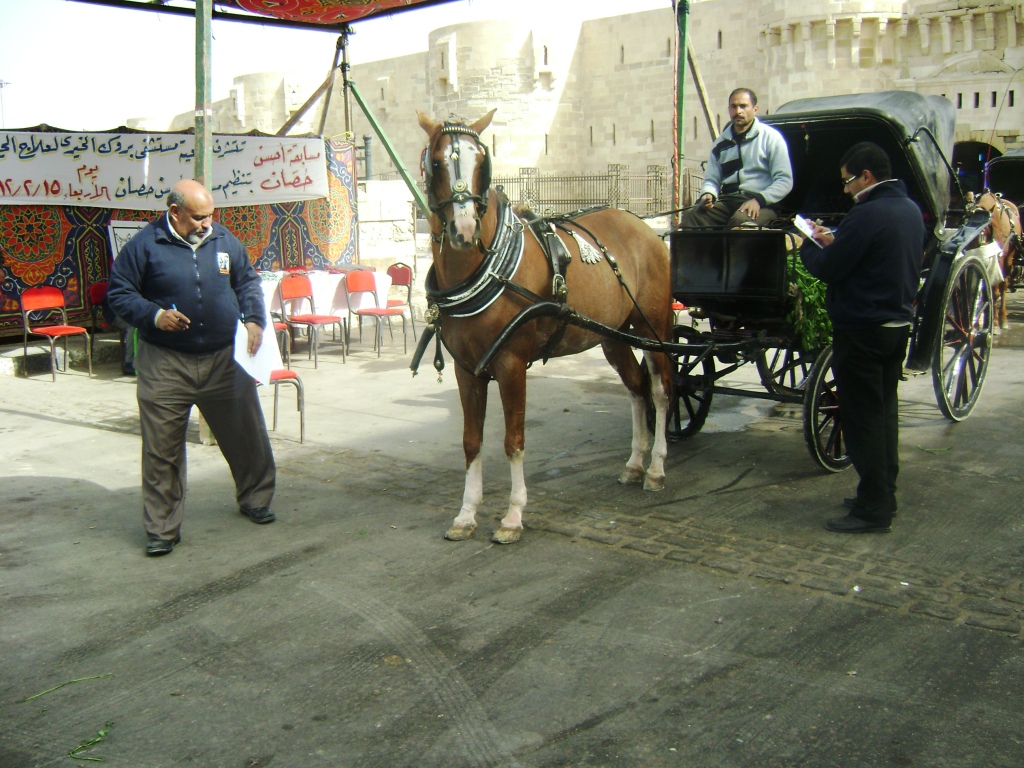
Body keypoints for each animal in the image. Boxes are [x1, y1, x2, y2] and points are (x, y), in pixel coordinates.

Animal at [419, 109, 675, 548]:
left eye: (481, 162)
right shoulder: (467, 369)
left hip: (651, 327)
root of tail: (644, 225)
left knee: (659, 390)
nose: (464, 231)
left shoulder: (511, 365)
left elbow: (513, 441)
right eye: (436, 163)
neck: (485, 270)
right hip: (614, 336)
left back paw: (656, 467)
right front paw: (466, 513)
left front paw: (513, 516)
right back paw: (634, 462)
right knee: (636, 387)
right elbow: (471, 441)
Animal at [970, 191, 1019, 329]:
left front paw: (996, 322)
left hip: (1008, 259)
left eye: (985, 233)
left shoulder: (999, 260)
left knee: (1004, 286)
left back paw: (1003, 318)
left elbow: (996, 291)